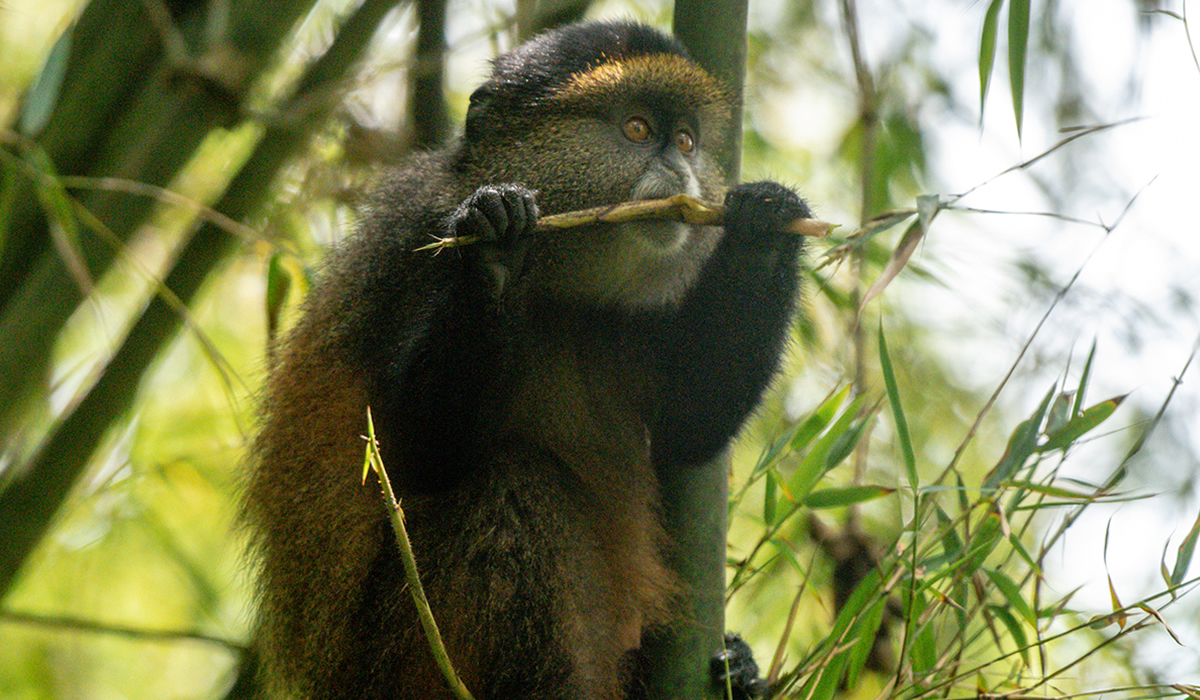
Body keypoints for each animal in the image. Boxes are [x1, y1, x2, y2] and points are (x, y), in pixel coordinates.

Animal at [244, 20, 811, 700]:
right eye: (637, 129)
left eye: (686, 140)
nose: (680, 168)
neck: (560, 286)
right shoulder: (416, 240)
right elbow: (409, 455)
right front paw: (494, 246)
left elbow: (689, 426)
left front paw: (764, 228)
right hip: (403, 656)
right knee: (514, 491)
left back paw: (738, 674)